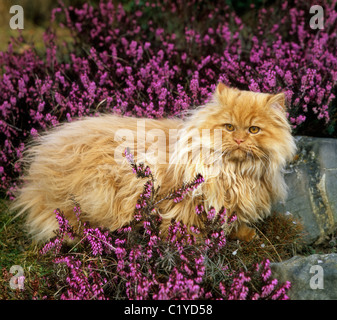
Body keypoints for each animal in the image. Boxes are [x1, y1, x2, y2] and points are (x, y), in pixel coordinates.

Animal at [11, 83, 296, 242]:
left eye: (254, 130)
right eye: (228, 127)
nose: (238, 139)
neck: (235, 172)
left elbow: (232, 221)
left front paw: (244, 234)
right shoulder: (184, 200)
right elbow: (188, 223)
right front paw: (193, 241)